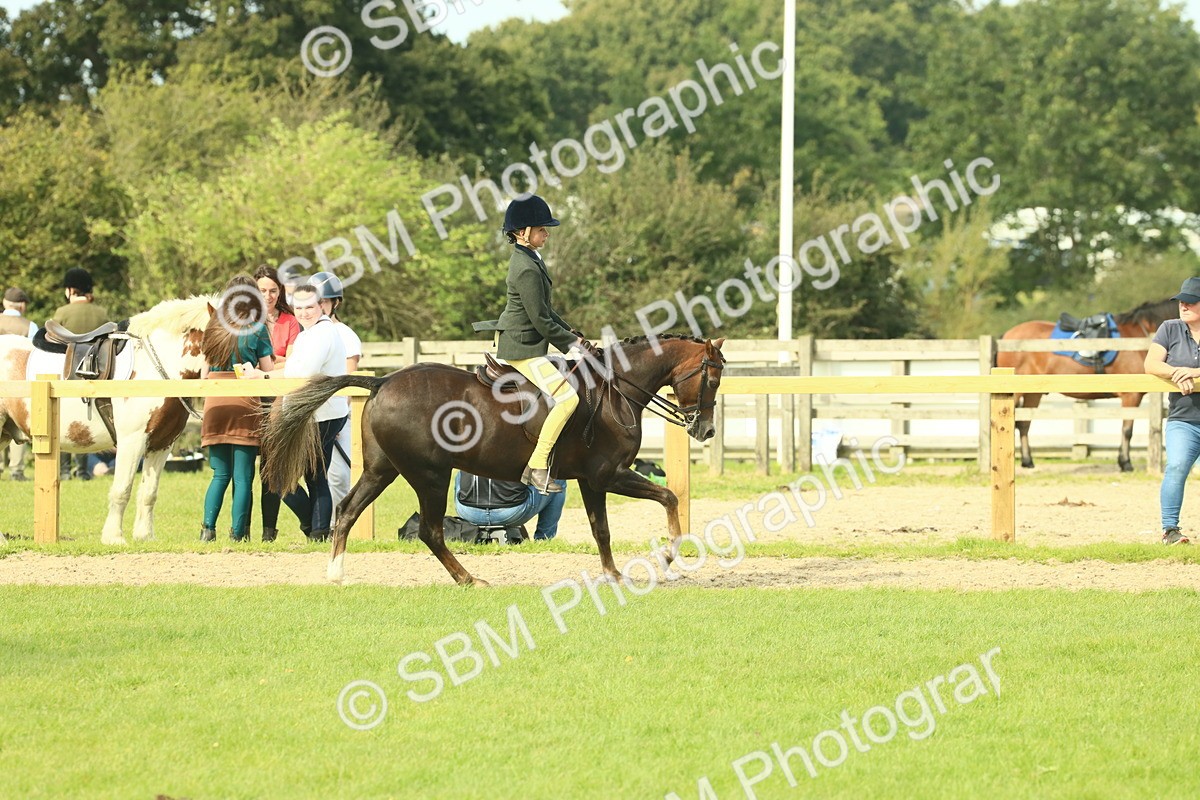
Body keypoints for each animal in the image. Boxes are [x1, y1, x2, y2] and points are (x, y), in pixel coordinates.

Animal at [0, 296, 213, 544]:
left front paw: (144, 536)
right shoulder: (132, 441)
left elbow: (149, 493)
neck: (155, 366)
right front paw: (114, 537)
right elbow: (122, 490)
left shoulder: (162, 444)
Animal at [262, 334, 726, 586]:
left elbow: (602, 530)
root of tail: (383, 380)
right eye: (713, 376)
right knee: (430, 531)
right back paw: (469, 579)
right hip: (430, 475)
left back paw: (336, 574)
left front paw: (614, 575)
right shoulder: (609, 475)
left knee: (347, 510)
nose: (705, 431)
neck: (615, 390)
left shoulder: (592, 480)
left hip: (382, 470)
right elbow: (668, 498)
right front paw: (670, 555)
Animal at [996, 298, 1177, 471]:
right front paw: (1125, 462)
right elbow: (1127, 431)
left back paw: (1027, 461)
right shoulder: (1131, 396)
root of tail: (1006, 336)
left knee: (1024, 424)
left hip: (1033, 394)